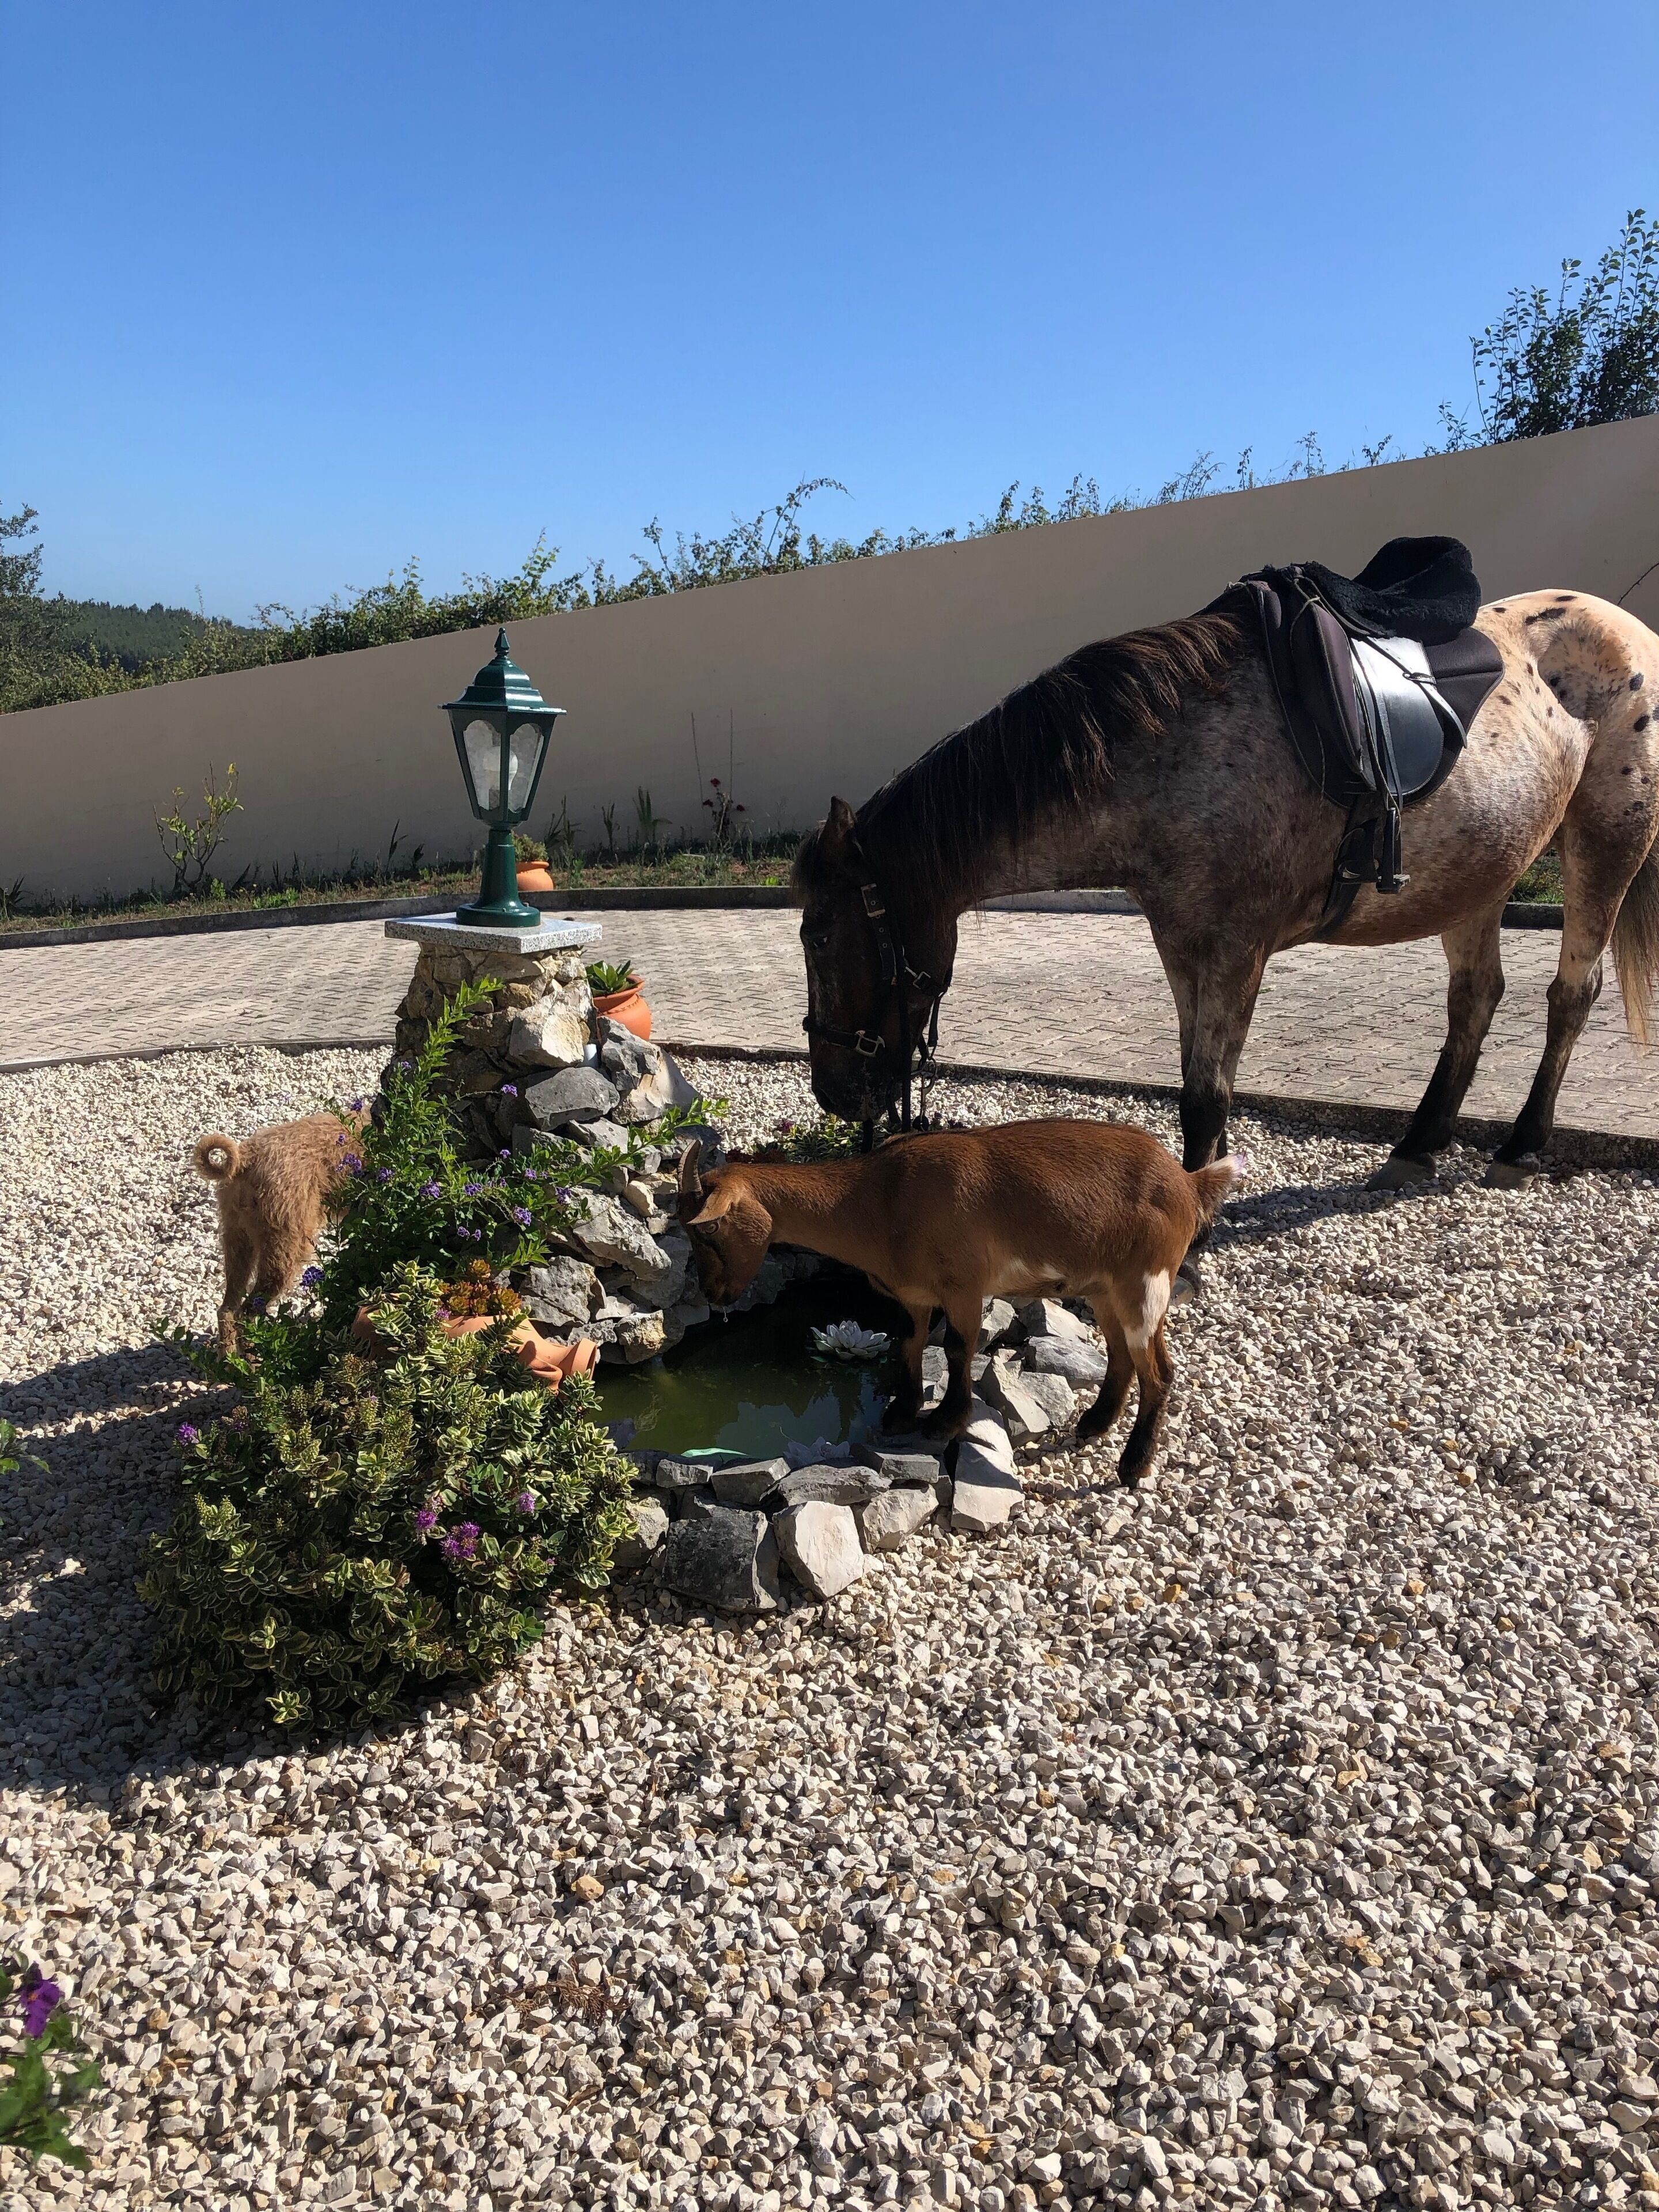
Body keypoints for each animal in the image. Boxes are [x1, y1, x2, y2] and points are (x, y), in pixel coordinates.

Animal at [793, 589, 1659, 1212]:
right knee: (1477, 997)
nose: (832, 1092)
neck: (1166, 758)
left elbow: (1207, 1100)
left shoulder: (1234, 954)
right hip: (1481, 872)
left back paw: (1520, 1146)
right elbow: (1196, 1095)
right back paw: (1418, 1144)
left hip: (1606, 840)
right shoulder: (1185, 949)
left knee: (1571, 993)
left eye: (820, 937)